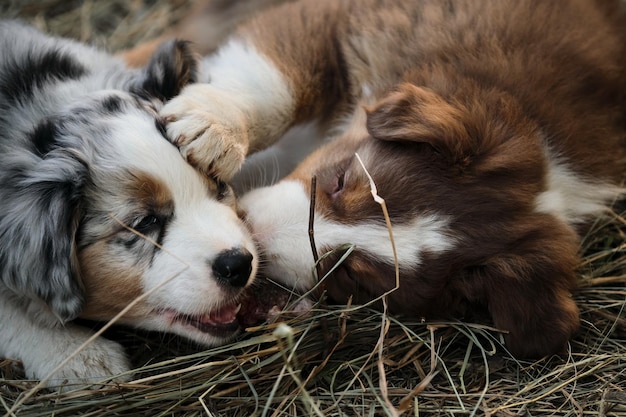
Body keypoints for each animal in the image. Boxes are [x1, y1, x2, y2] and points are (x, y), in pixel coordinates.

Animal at [162, 0, 624, 358]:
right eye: (340, 180)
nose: (253, 239)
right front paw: (212, 128)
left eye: (352, 276)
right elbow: (278, 85)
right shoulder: (352, 20)